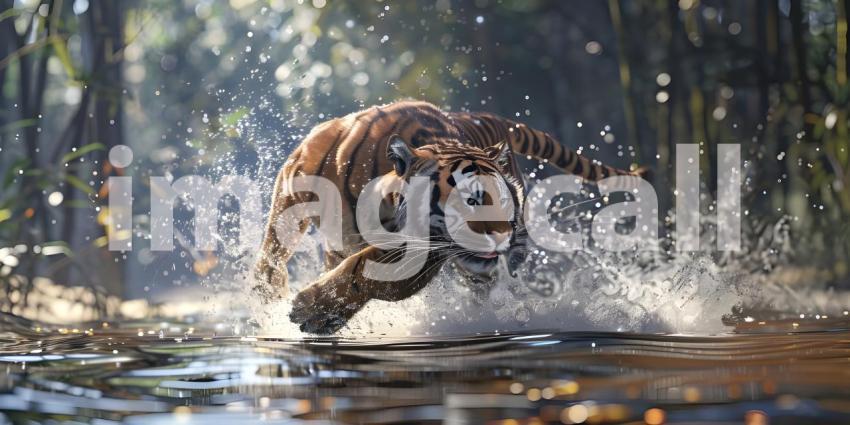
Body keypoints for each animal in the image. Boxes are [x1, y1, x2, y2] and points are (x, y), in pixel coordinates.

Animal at [254, 100, 645, 334]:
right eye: (472, 200)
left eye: (509, 202)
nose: (506, 239)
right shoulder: (294, 178)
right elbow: (274, 245)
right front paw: (269, 295)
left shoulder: (417, 259)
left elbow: (361, 274)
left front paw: (313, 311)